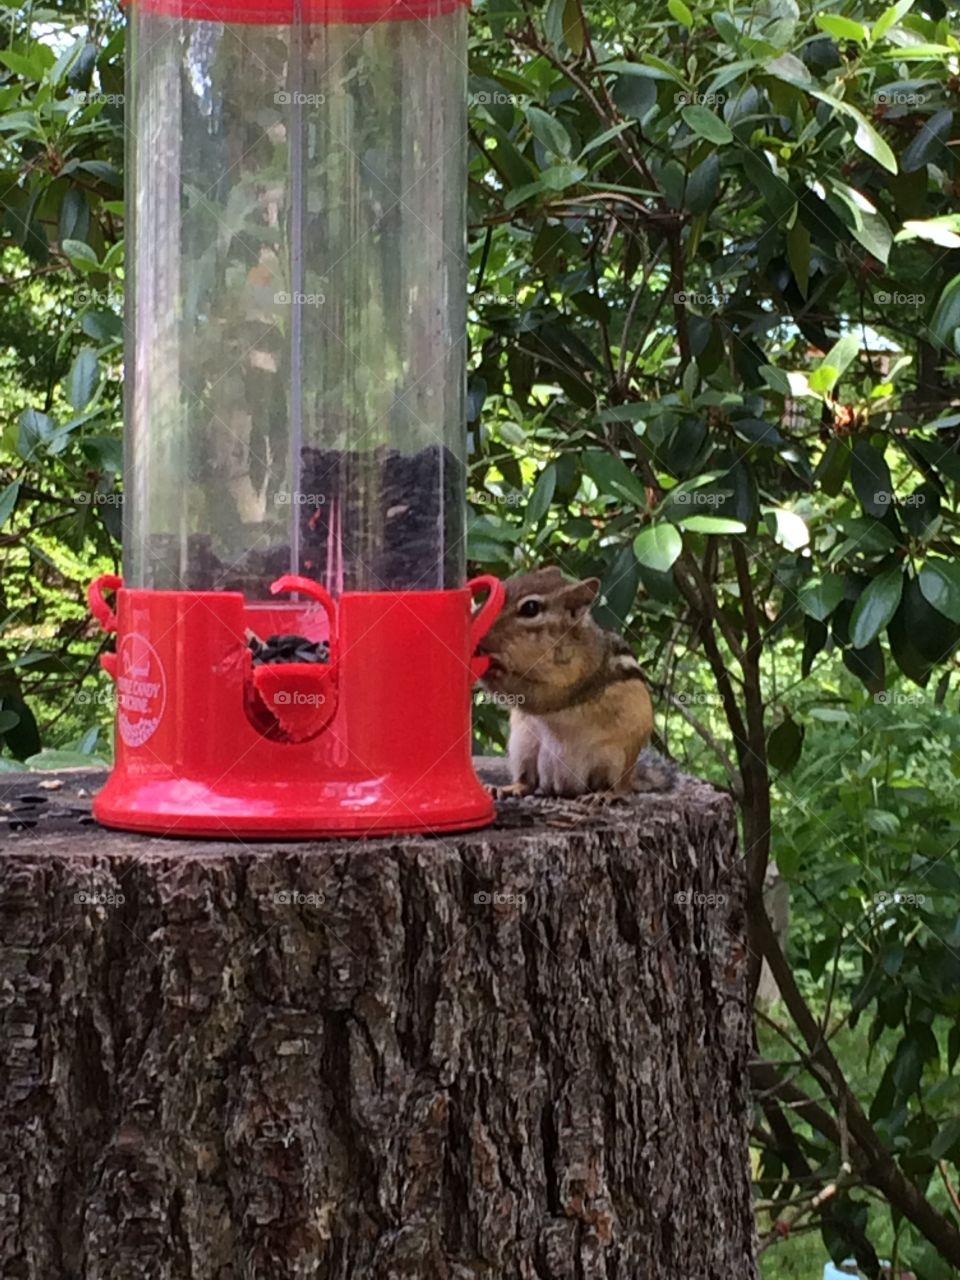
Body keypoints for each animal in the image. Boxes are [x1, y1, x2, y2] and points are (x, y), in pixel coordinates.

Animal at [476, 566, 676, 799]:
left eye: (530, 608)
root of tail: (563, 785)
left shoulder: (576, 680)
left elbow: (538, 696)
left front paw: (494, 668)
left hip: (615, 759)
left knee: (616, 787)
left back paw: (604, 795)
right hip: (523, 746)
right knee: (528, 783)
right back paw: (505, 788)